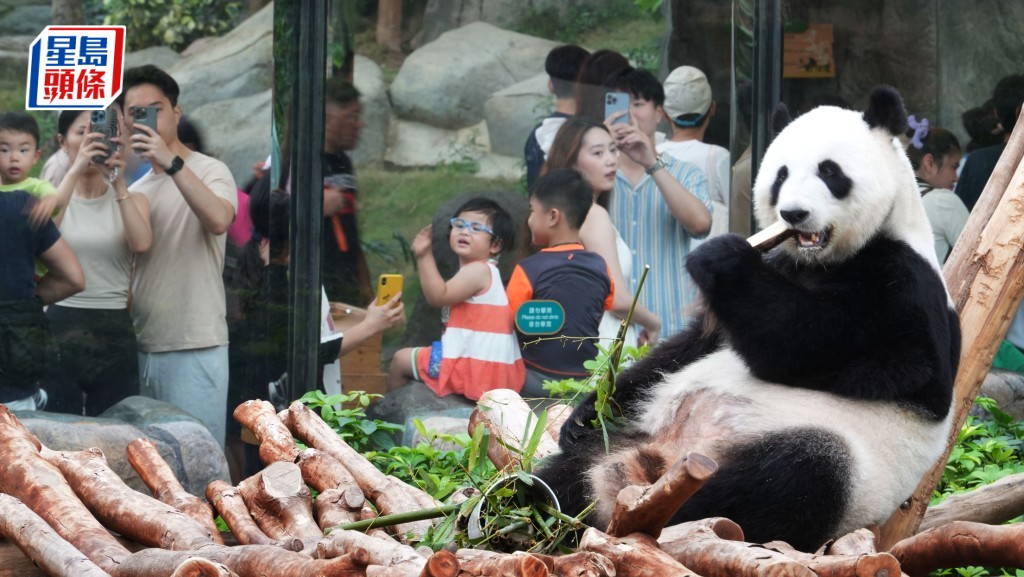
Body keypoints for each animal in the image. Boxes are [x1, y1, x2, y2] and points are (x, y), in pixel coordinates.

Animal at [540, 84, 962, 549]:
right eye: (780, 175)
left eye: (830, 172)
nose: (794, 214)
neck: (823, 260)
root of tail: (664, 456)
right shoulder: (777, 270)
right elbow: (685, 348)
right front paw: (586, 411)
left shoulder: (905, 289)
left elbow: (825, 347)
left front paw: (721, 257)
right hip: (627, 437)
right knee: (567, 472)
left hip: (843, 465)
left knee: (789, 478)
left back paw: (651, 508)